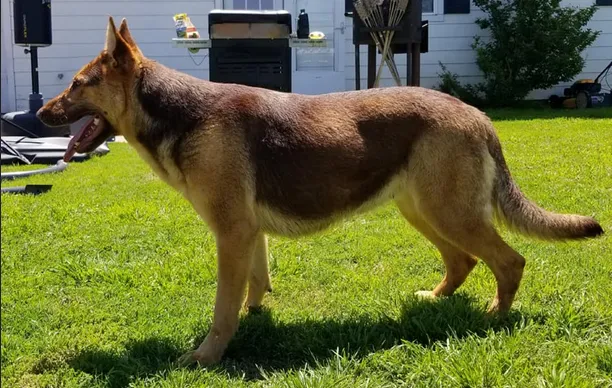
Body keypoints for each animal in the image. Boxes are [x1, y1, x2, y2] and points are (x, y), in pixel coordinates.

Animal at [37, 17, 604, 364]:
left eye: (78, 84)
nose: (40, 113)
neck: (178, 112)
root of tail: (478, 115)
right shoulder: (248, 235)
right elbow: (255, 287)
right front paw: (256, 321)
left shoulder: (232, 235)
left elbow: (222, 308)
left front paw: (206, 358)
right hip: (424, 211)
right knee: (463, 261)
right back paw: (437, 299)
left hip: (449, 213)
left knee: (509, 261)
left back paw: (493, 318)